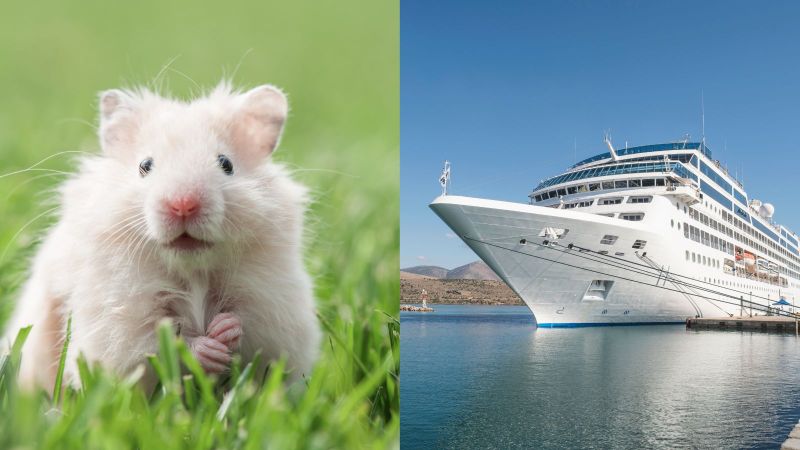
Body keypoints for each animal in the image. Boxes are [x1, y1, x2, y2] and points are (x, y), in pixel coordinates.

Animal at [2, 82, 321, 391]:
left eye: (226, 164)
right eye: (145, 165)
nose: (183, 204)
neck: (192, 269)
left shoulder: (274, 308)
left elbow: (250, 327)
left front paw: (224, 329)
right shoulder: (120, 322)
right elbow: (161, 342)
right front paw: (207, 349)